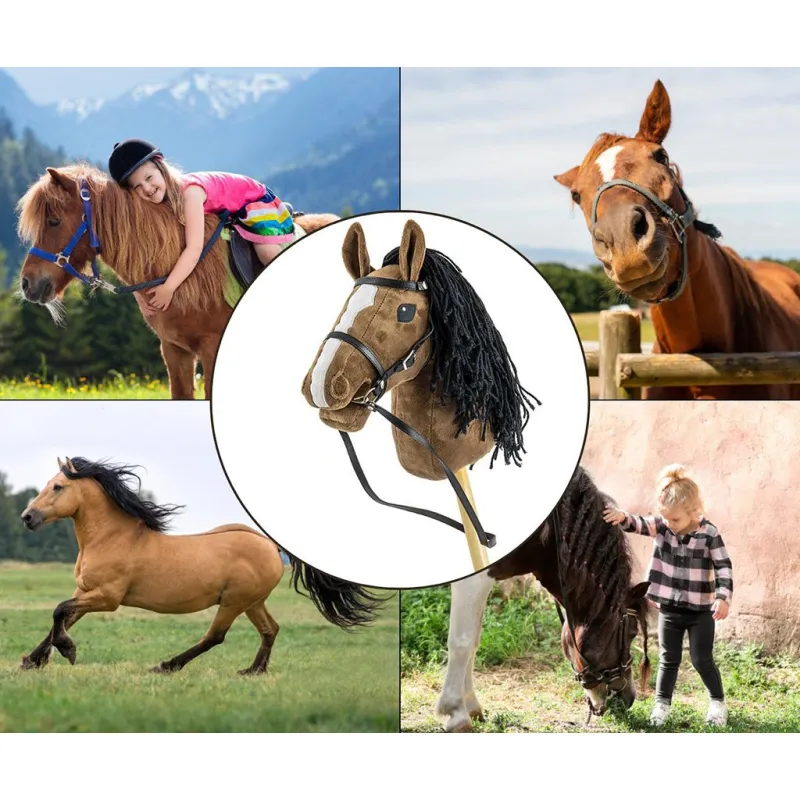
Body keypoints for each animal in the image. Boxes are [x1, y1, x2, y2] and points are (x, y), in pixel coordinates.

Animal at [19, 457, 383, 675]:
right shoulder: (86, 591)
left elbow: (59, 611)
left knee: (215, 637)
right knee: (270, 629)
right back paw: (253, 671)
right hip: (253, 602)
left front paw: (67, 651)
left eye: (58, 486)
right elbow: (63, 617)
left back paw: (167, 665)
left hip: (234, 601)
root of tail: (270, 545)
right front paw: (32, 661)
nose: (27, 517)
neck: (112, 537)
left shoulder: (107, 598)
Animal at [435, 466, 651, 732]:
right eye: (631, 633)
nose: (628, 698)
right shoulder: (473, 580)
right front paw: (456, 712)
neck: (546, 529)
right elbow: (462, 642)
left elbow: (474, 641)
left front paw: (471, 705)